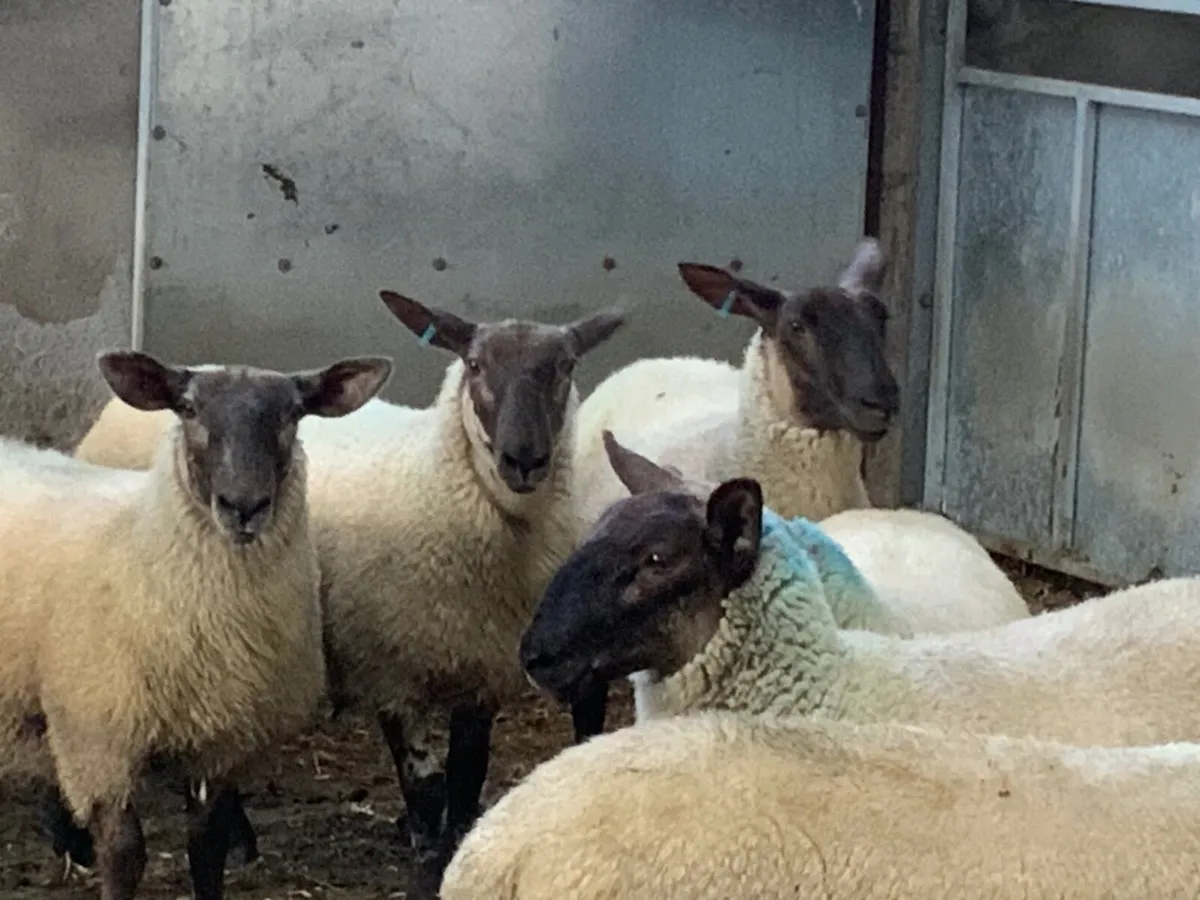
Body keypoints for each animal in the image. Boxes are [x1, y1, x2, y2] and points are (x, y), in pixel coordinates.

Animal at [0, 348, 393, 900]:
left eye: (294, 413)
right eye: (186, 408)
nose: (244, 506)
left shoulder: (222, 742)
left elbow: (207, 847)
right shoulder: (100, 737)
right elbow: (125, 854)